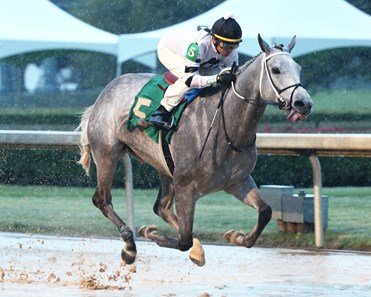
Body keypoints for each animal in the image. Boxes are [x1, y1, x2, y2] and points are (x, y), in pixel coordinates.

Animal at [78, 34, 314, 266]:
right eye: (276, 69)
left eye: (299, 67)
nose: (304, 103)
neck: (226, 126)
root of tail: (105, 92)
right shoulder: (186, 186)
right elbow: (183, 240)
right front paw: (152, 233)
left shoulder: (237, 181)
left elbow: (265, 211)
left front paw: (236, 236)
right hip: (107, 153)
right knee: (102, 199)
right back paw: (129, 245)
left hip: (164, 166)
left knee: (161, 207)